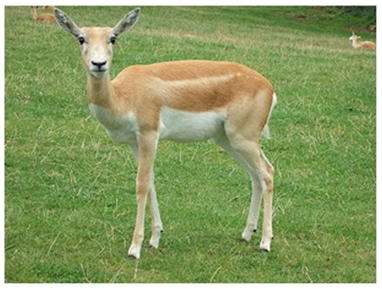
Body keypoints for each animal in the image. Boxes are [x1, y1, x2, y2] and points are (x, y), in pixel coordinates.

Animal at [54, 7, 278, 258]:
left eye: (113, 38)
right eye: (81, 38)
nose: (99, 63)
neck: (123, 97)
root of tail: (269, 87)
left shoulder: (149, 134)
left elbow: (141, 183)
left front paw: (135, 248)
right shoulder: (134, 142)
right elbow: (150, 180)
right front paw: (155, 238)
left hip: (243, 138)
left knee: (268, 172)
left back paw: (265, 243)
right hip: (227, 139)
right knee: (255, 175)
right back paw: (247, 233)